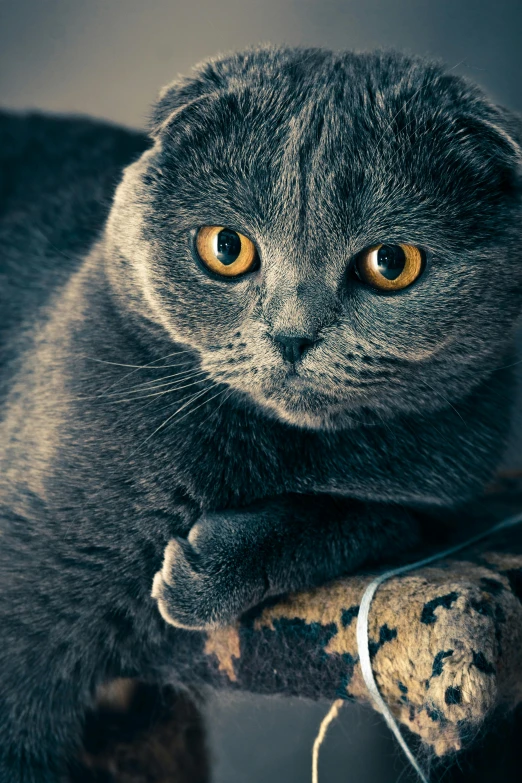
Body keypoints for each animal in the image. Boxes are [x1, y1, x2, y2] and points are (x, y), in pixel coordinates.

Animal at [1, 44, 520, 783]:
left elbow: (358, 515)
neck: (271, 450)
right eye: (226, 248)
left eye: (392, 262)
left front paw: (203, 571)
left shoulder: (442, 495)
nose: (292, 334)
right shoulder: (31, 577)